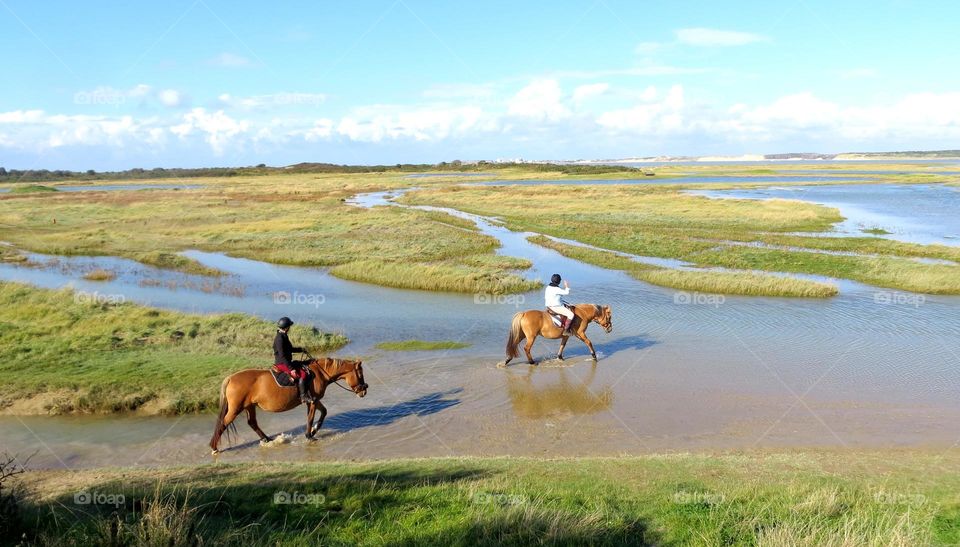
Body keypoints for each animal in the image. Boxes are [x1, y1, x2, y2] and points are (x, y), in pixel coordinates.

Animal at [210, 358, 368, 456]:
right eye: (360, 374)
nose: (364, 391)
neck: (319, 373)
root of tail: (230, 378)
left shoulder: (315, 400)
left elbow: (324, 412)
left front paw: (314, 430)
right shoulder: (312, 401)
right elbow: (310, 418)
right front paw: (309, 435)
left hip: (250, 406)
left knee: (252, 423)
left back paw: (268, 440)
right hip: (236, 409)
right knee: (223, 424)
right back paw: (214, 448)